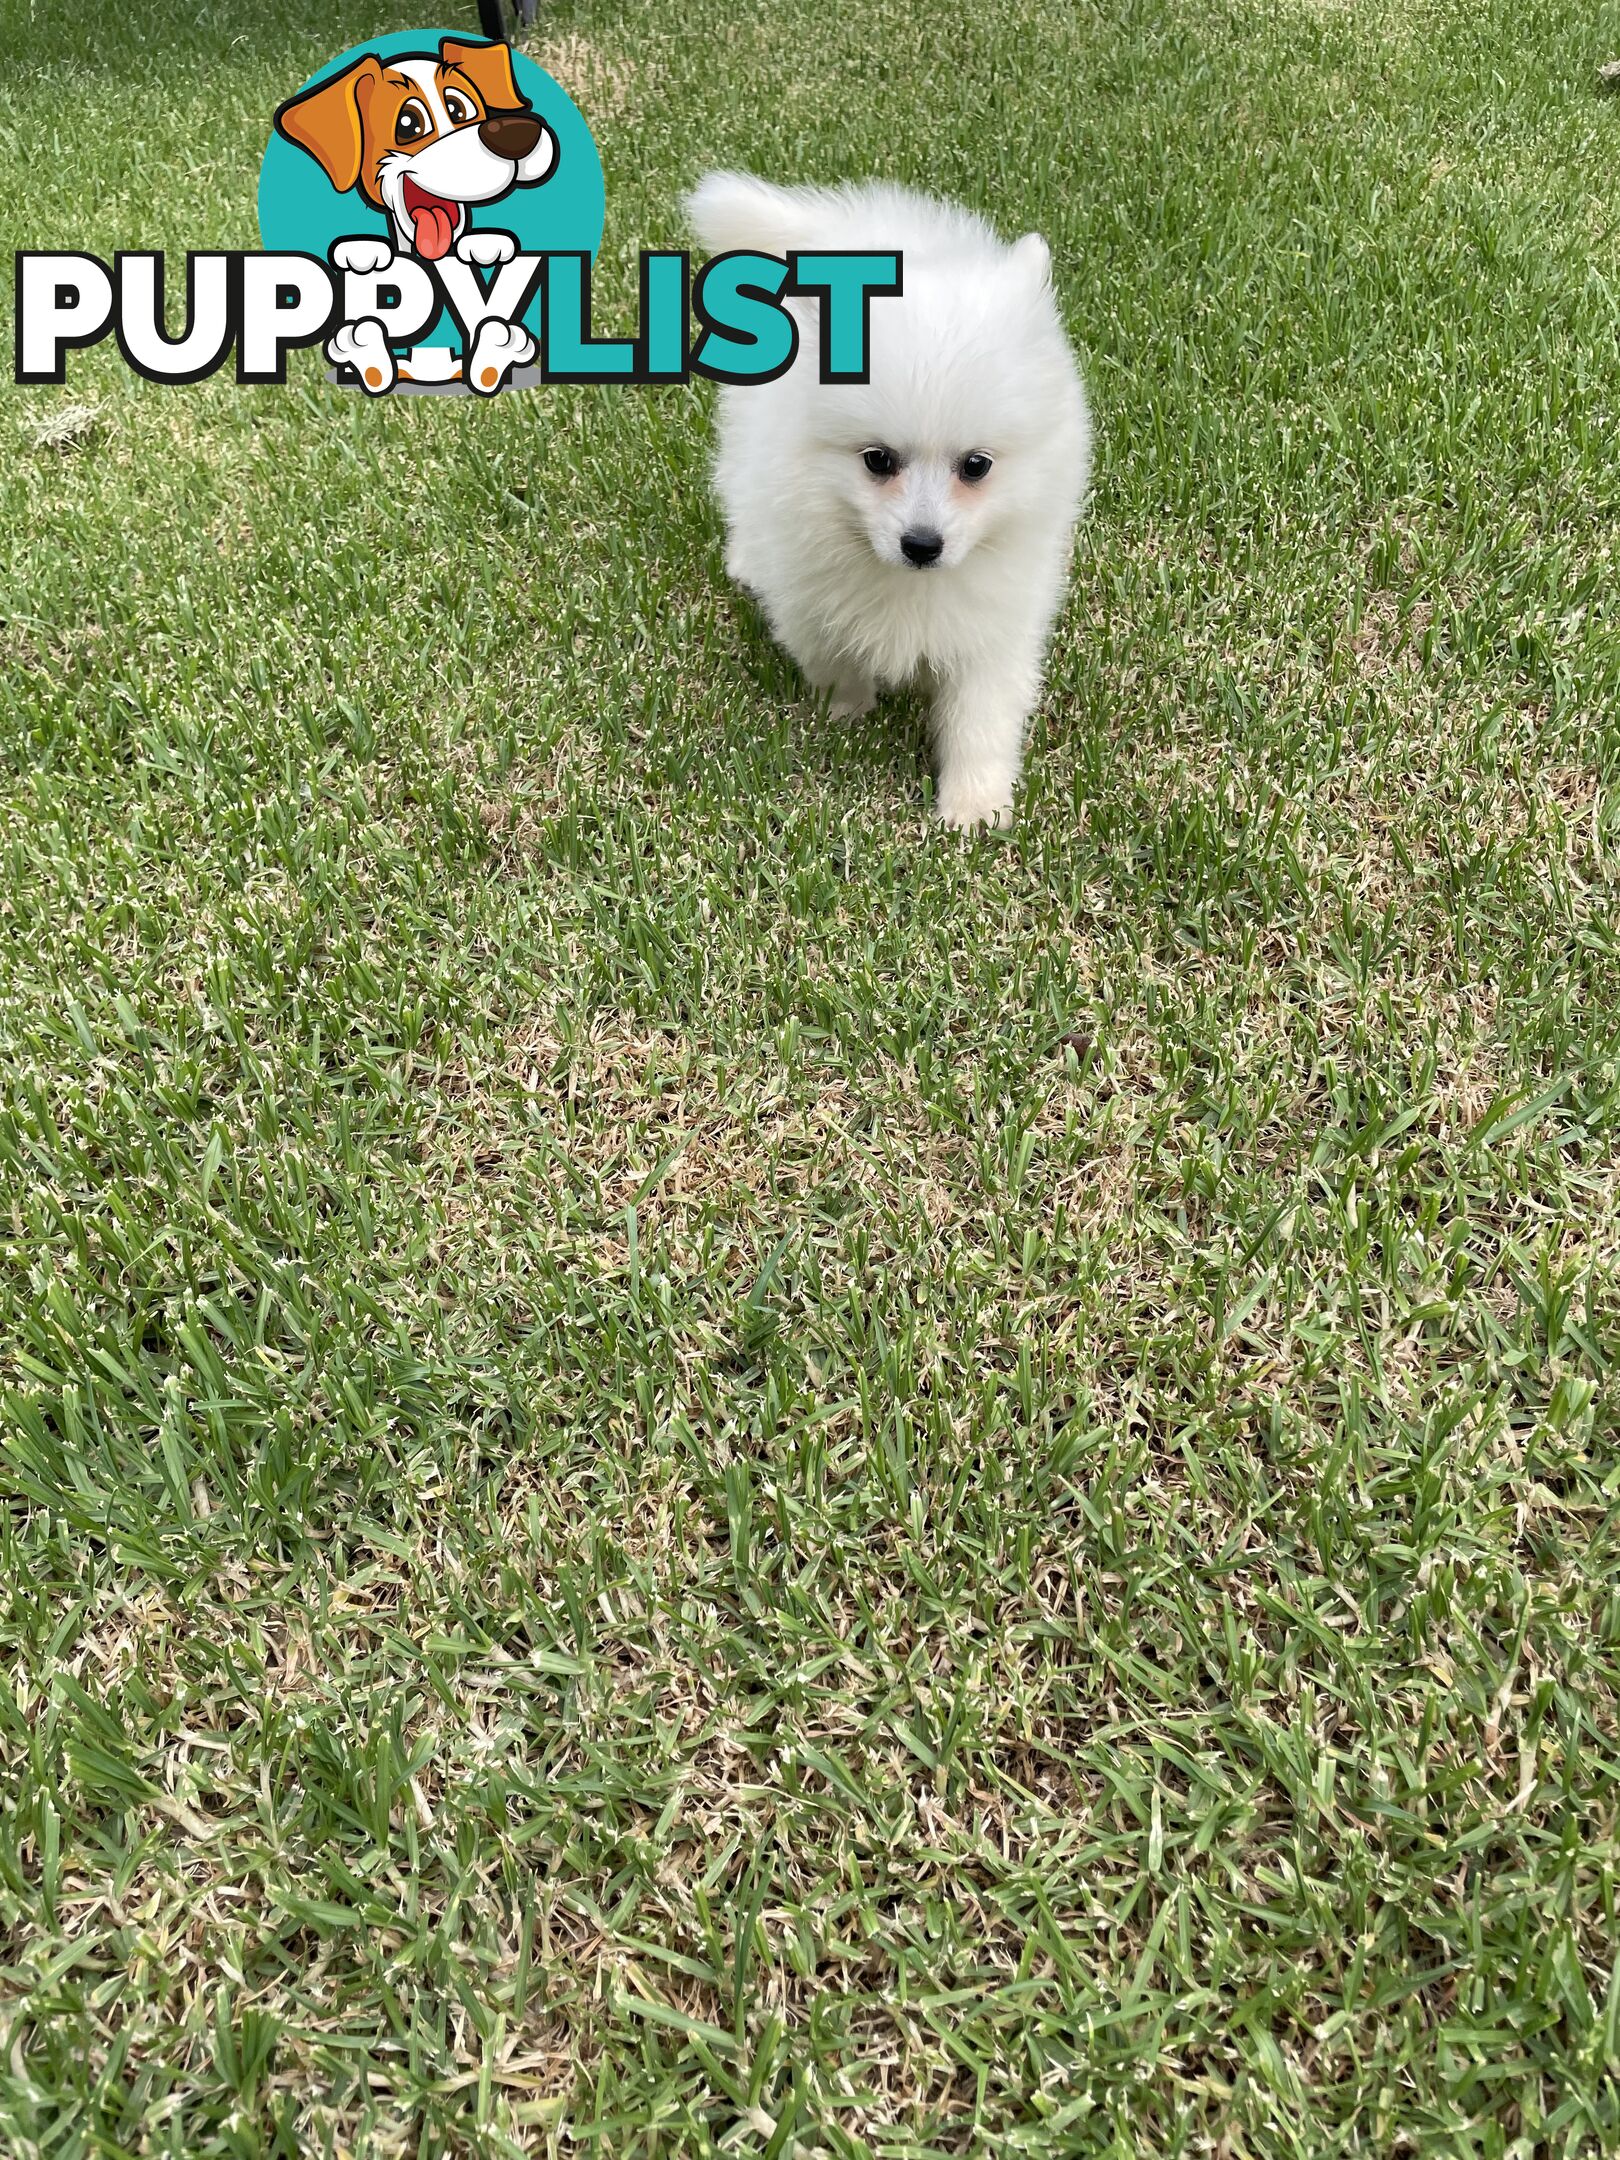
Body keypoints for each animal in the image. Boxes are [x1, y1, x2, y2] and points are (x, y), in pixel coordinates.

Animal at [686, 166, 1092, 825]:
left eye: (976, 466)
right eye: (878, 461)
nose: (922, 544)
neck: (911, 586)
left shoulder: (997, 619)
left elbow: (982, 714)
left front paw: (975, 807)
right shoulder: (810, 599)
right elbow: (833, 661)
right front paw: (849, 714)